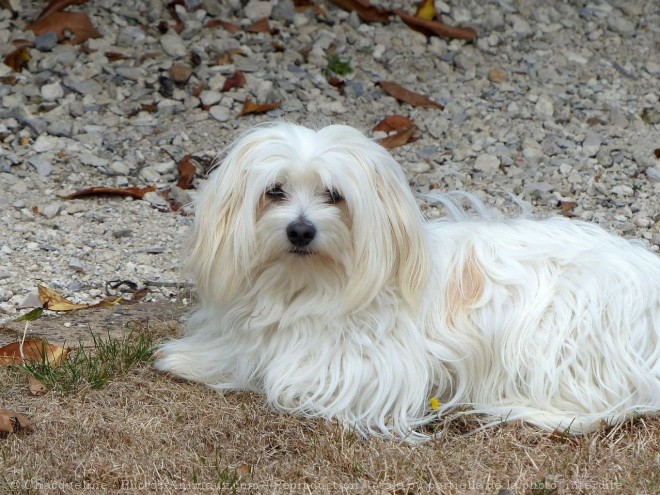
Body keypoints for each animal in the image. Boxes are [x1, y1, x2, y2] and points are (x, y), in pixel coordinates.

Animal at [156, 123, 660, 442]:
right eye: (274, 191)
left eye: (334, 195)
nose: (301, 230)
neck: (307, 284)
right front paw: (190, 359)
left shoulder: (374, 371)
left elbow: (282, 378)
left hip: (554, 333)